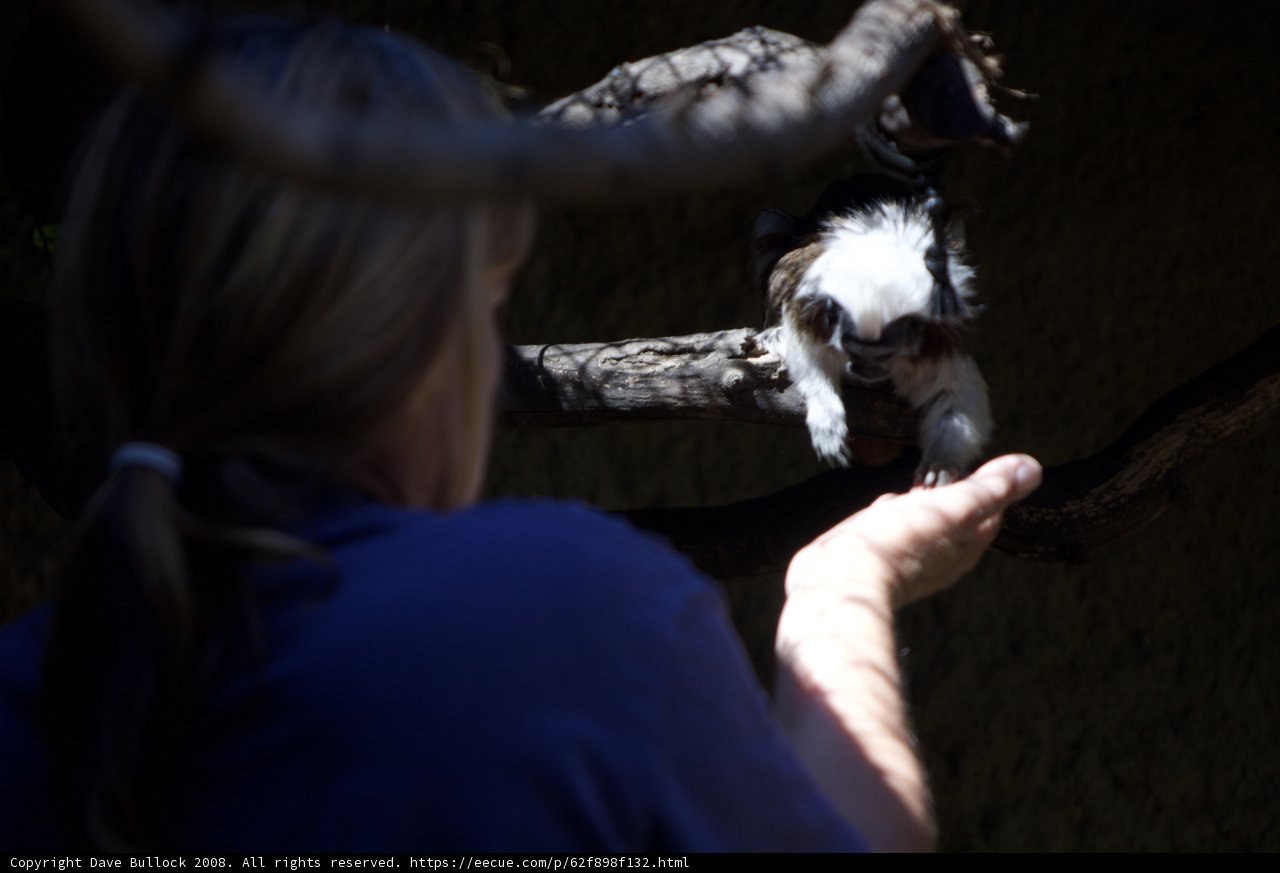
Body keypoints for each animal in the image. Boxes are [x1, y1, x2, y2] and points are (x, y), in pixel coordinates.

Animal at [756, 175, 992, 487]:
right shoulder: (813, 307)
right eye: (854, 350)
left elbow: (956, 396)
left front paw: (939, 465)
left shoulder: (941, 332)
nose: (863, 369)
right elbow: (808, 354)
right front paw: (826, 417)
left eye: (882, 355)